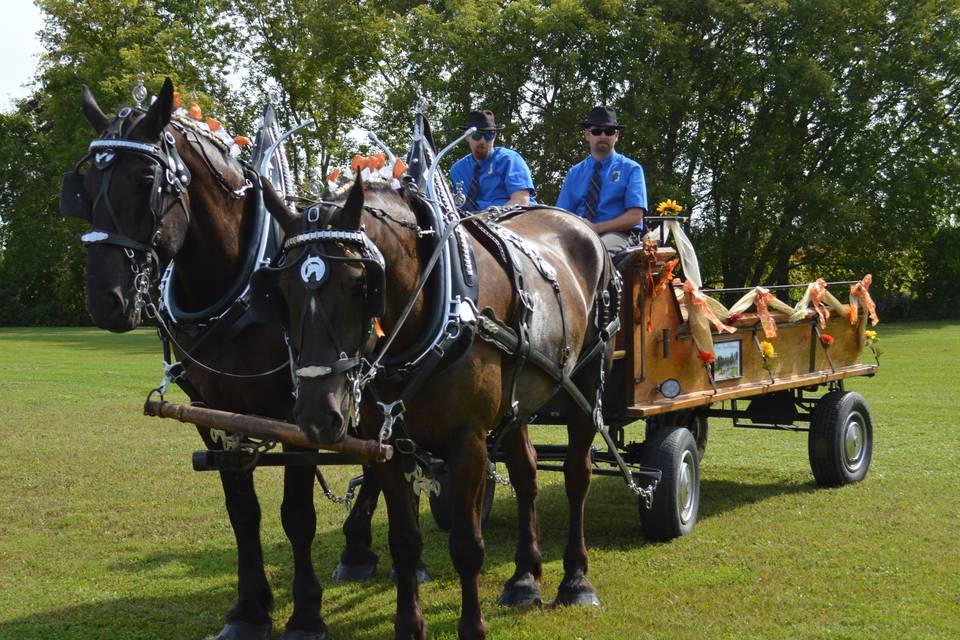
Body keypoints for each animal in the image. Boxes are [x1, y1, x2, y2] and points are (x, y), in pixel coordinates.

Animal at [62, 79, 384, 640]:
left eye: (146, 179)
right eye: (86, 182)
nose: (106, 299)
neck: (240, 286)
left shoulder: (298, 413)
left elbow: (296, 514)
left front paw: (305, 613)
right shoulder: (216, 415)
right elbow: (242, 512)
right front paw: (249, 609)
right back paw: (359, 545)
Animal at [255, 176, 616, 640]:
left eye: (360, 286)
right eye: (282, 292)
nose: (318, 416)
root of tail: (580, 226)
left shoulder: (469, 443)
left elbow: (466, 545)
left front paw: (472, 626)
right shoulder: (389, 447)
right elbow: (405, 542)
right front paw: (410, 624)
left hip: (587, 384)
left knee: (577, 476)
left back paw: (575, 579)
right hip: (518, 399)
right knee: (526, 473)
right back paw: (524, 576)